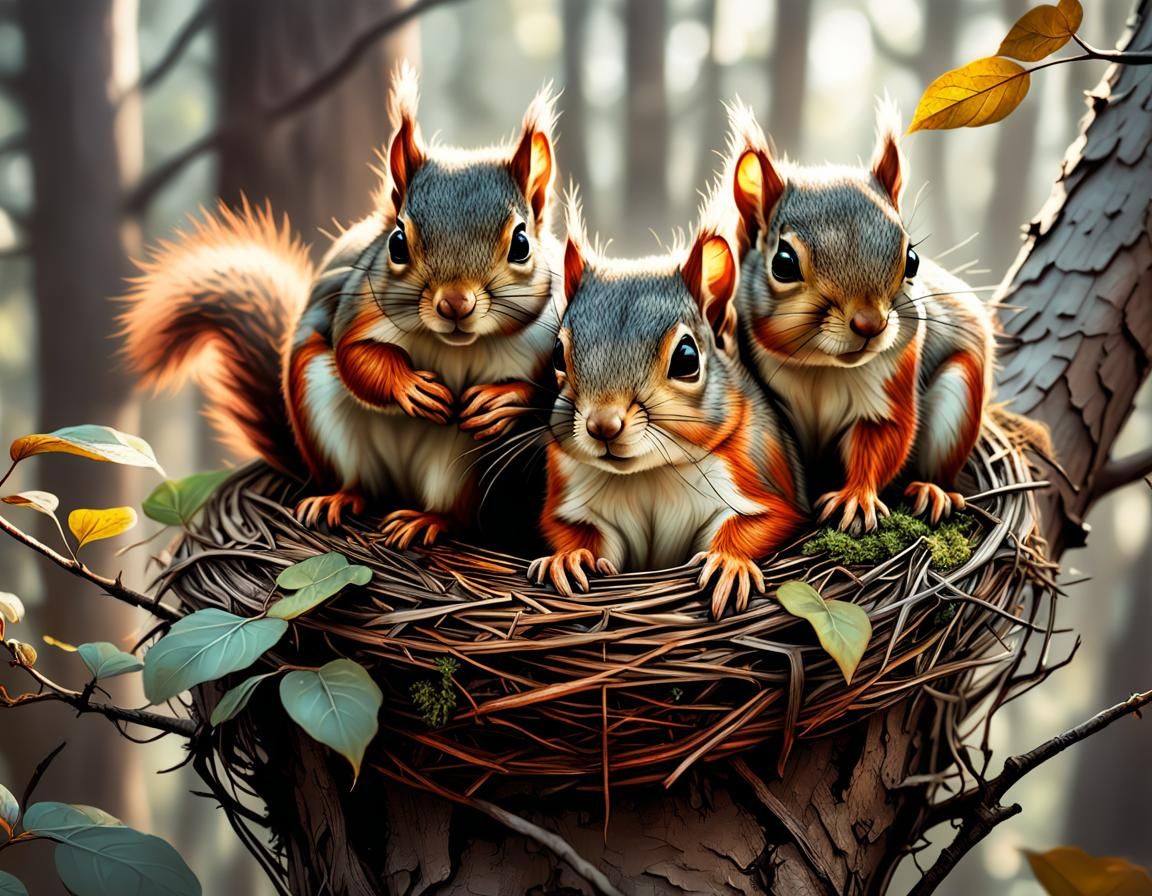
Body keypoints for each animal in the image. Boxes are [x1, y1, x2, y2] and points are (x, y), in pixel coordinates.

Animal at [120, 64, 561, 548]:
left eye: (521, 243)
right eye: (397, 242)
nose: (455, 304)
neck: (455, 346)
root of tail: (398, 489)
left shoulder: (548, 339)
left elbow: (542, 392)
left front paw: (501, 400)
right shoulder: (357, 309)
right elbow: (355, 357)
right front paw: (410, 387)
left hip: (461, 469)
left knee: (451, 511)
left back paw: (426, 521)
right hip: (322, 414)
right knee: (357, 483)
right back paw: (338, 500)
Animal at [528, 207, 807, 619]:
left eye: (687, 358)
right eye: (557, 355)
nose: (603, 426)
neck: (649, 473)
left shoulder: (757, 476)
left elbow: (762, 521)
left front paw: (728, 563)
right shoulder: (573, 494)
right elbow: (575, 531)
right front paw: (569, 557)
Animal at [723, 100, 995, 533]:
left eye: (912, 259)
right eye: (783, 263)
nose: (871, 324)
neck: (821, 367)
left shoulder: (893, 380)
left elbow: (882, 438)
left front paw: (854, 499)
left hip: (961, 392)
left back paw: (932, 491)